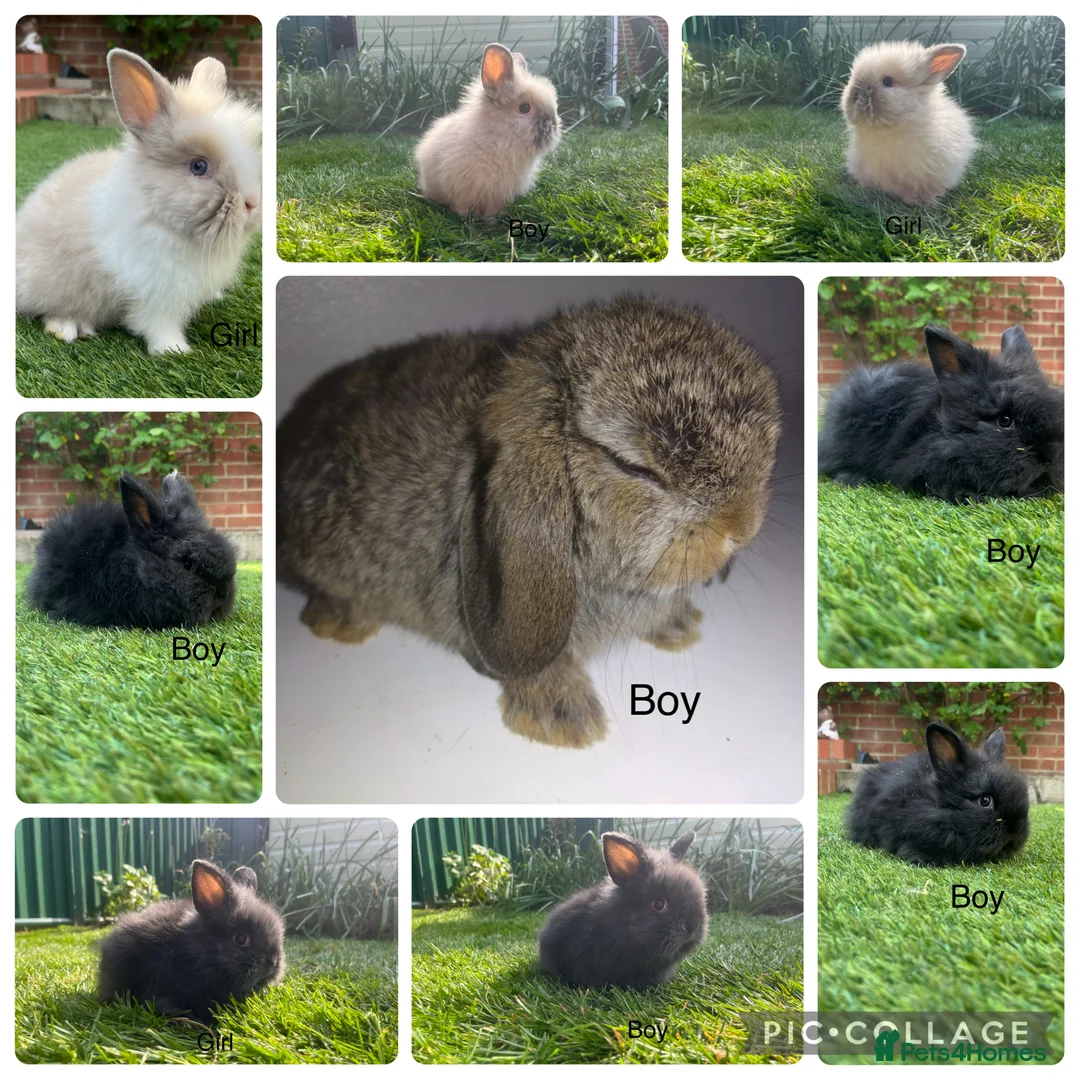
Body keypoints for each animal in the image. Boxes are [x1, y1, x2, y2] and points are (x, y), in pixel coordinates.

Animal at [16, 48, 261, 355]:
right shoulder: (157, 293)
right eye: (198, 166)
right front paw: (174, 351)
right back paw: (69, 329)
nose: (252, 203)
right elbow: (158, 324)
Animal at [415, 43, 561, 219]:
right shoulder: (464, 189)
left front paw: (492, 220)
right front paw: (465, 216)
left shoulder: (499, 195)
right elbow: (463, 206)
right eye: (525, 108)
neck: (502, 140)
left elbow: (493, 210)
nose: (553, 126)